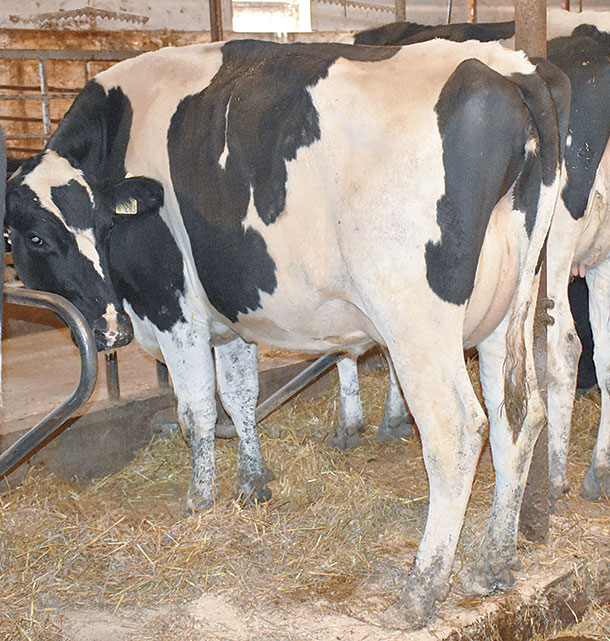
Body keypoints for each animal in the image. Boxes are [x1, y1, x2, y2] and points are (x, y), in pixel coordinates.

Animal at [4, 39, 569, 623]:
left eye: (99, 227)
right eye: (36, 236)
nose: (110, 330)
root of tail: (507, 67)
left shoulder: (171, 305)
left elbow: (196, 411)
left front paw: (198, 504)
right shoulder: (232, 319)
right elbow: (240, 397)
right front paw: (252, 485)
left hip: (417, 322)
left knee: (456, 431)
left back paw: (421, 588)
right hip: (510, 308)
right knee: (519, 417)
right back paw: (492, 564)